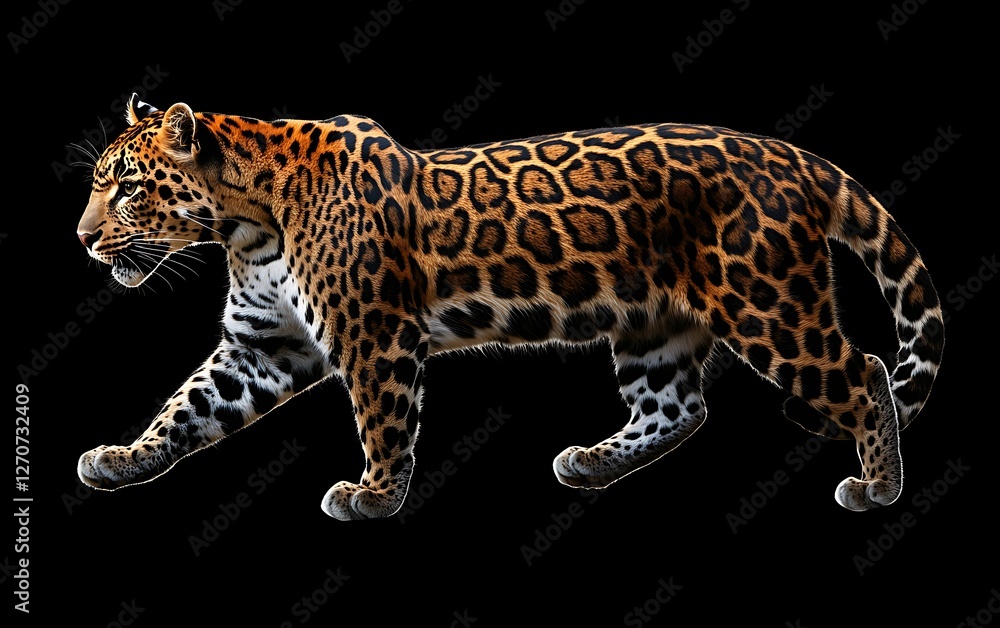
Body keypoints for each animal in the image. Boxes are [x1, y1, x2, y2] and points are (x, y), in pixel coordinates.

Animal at [75, 93, 944, 520]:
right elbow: (188, 405)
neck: (246, 220)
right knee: (678, 408)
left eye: (128, 185)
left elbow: (383, 419)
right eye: (101, 182)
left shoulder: (373, 334)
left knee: (865, 372)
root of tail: (792, 155)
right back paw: (591, 463)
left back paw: (877, 489)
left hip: (768, 306)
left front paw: (374, 496)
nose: (81, 239)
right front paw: (123, 459)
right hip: (654, 325)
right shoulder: (264, 344)